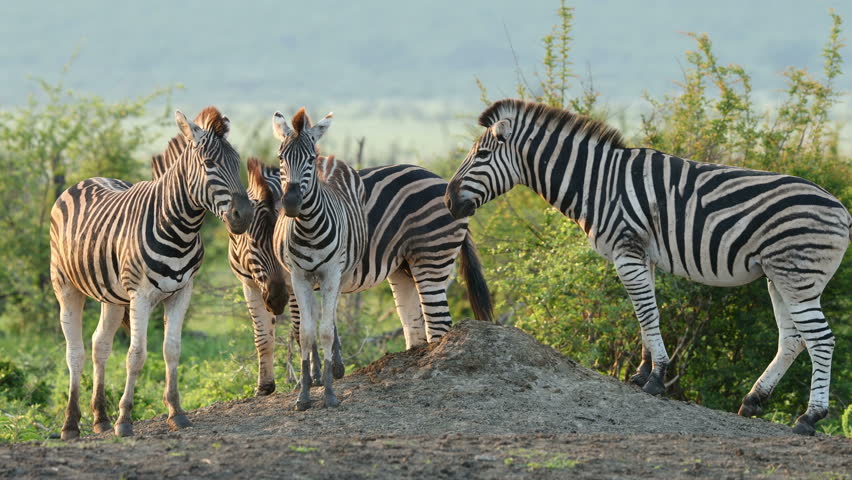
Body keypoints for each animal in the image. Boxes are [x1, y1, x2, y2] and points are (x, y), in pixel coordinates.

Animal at [50, 107, 252, 439]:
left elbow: (172, 349)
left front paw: (176, 412)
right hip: (66, 286)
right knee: (74, 352)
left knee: (99, 344)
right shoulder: (141, 296)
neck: (179, 227)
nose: (244, 216)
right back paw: (71, 425)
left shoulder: (182, 292)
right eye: (209, 164)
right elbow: (137, 354)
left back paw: (100, 418)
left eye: (238, 163)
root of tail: (85, 180)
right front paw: (125, 420)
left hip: (112, 296)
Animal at [272, 108, 367, 410]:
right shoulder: (299, 276)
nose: (291, 203)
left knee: (331, 314)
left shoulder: (332, 273)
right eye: (280, 158)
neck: (308, 228)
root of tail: (330, 159)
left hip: (343, 273)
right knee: (312, 317)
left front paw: (329, 392)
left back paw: (335, 366)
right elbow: (306, 332)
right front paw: (304, 393)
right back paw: (314, 373)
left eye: (309, 160)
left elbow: (325, 329)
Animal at [445, 98, 850, 436]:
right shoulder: (643, 255)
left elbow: (647, 314)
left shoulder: (627, 250)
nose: (448, 201)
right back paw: (753, 401)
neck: (599, 184)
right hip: (779, 277)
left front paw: (656, 377)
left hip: (797, 276)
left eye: (482, 154)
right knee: (793, 339)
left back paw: (809, 418)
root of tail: (842, 210)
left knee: (820, 339)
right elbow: (644, 314)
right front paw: (642, 373)